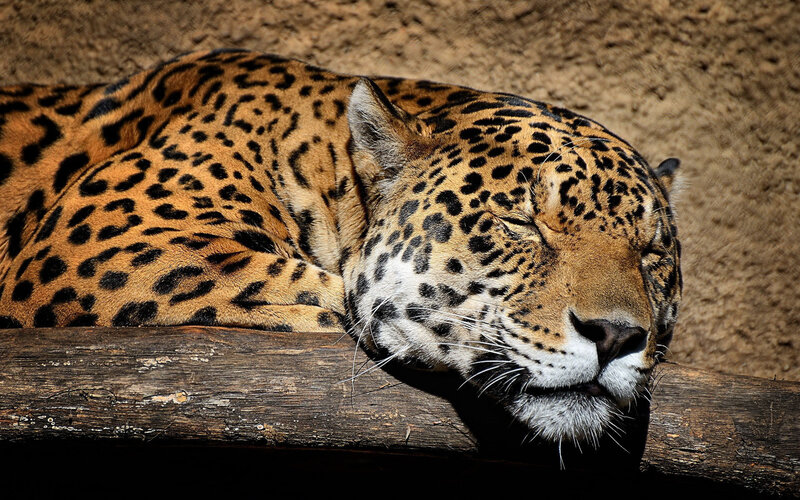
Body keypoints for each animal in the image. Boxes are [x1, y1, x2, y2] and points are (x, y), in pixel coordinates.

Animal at [0, 48, 681, 445]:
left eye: (651, 255)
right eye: (520, 222)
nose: (616, 337)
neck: (325, 163)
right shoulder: (114, 244)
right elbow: (334, 301)